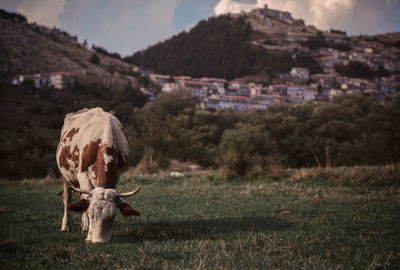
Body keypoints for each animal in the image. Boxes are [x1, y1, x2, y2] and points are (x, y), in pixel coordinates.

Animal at [56, 107, 141, 245]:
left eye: (113, 216)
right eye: (92, 214)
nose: (99, 242)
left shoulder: (117, 173)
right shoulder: (82, 174)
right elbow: (85, 200)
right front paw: (89, 235)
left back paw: (84, 225)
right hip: (66, 175)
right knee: (68, 198)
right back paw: (66, 226)